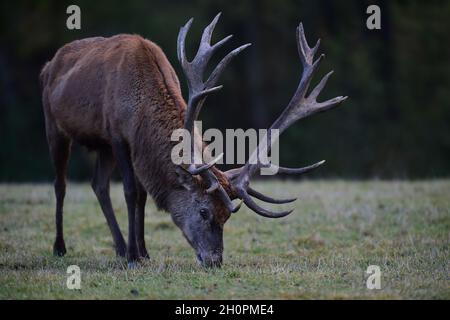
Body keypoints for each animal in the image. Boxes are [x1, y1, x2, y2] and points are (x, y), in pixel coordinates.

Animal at [40, 12, 346, 268]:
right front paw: (133, 257)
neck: (139, 111)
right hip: (54, 124)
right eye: (203, 211)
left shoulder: (133, 146)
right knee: (60, 184)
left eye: (226, 216)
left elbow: (142, 196)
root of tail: (49, 64)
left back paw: (118, 246)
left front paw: (142, 252)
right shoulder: (117, 135)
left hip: (101, 146)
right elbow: (130, 192)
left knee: (98, 184)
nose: (214, 261)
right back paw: (60, 247)